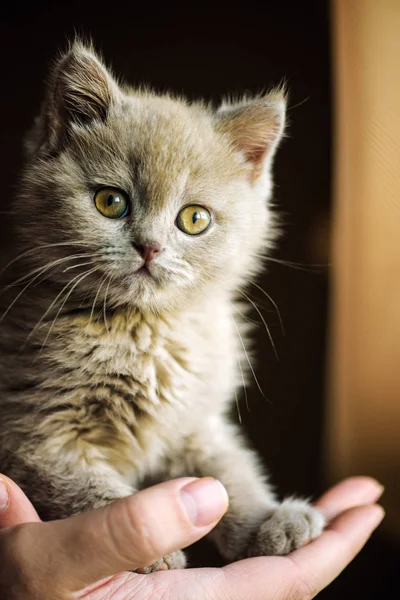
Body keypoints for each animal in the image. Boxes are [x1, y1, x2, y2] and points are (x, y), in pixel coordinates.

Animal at [0, 43, 324, 572]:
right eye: (111, 202)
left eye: (194, 219)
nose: (149, 247)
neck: (144, 330)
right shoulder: (33, 434)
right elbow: (84, 488)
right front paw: (151, 551)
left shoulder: (192, 420)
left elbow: (230, 470)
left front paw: (269, 520)